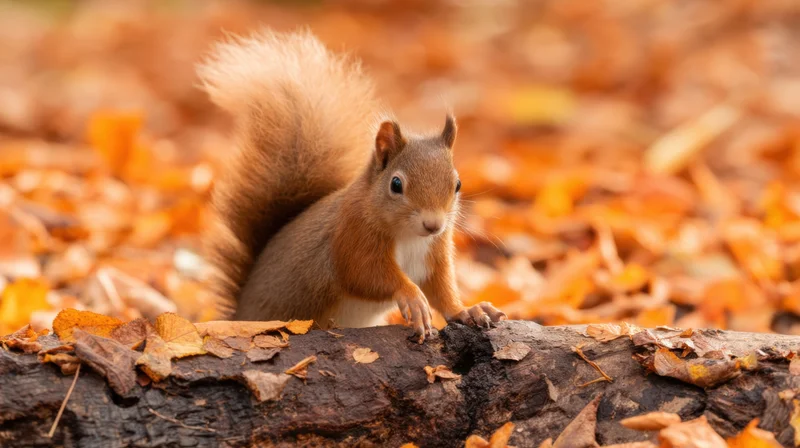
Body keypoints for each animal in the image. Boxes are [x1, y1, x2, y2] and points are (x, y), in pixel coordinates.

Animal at [198, 29, 505, 342]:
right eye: (396, 184)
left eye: (457, 184)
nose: (433, 225)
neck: (409, 236)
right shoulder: (352, 236)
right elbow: (364, 274)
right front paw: (412, 297)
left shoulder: (435, 253)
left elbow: (442, 289)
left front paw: (468, 310)